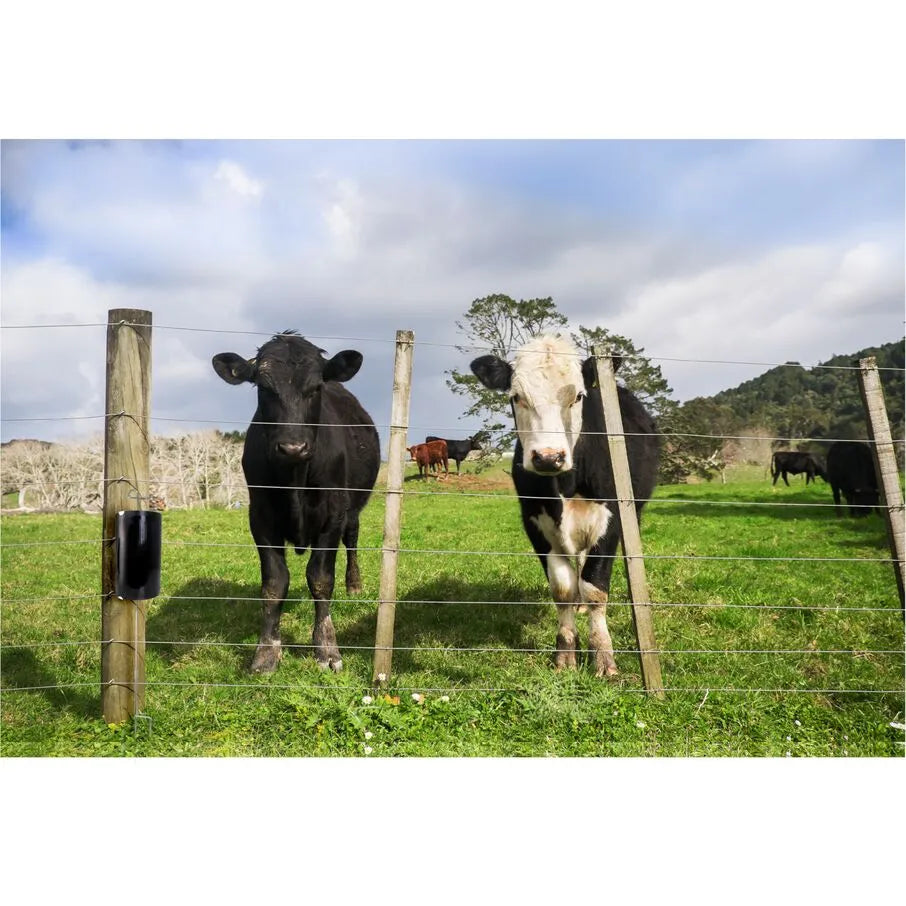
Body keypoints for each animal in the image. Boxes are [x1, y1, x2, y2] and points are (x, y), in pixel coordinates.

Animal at [212, 332, 378, 672]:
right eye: (264, 388)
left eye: (315, 388)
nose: (293, 447)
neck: (294, 480)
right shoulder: (260, 518)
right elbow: (274, 583)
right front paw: (266, 652)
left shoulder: (333, 515)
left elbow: (321, 579)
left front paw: (327, 649)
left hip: (353, 509)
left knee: (352, 540)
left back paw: (354, 584)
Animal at [466, 336, 656, 676]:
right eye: (516, 397)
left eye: (578, 396)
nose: (548, 457)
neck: (566, 485)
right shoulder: (535, 523)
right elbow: (563, 589)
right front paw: (566, 653)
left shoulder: (611, 519)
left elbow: (595, 587)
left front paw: (603, 657)